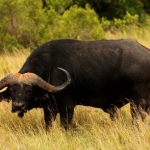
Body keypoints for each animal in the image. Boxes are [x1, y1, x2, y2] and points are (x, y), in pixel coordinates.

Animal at [0, 39, 150, 130]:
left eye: (29, 90)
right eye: (12, 90)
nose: (18, 106)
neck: (50, 69)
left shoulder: (67, 106)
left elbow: (65, 126)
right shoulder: (49, 108)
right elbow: (48, 125)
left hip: (138, 105)